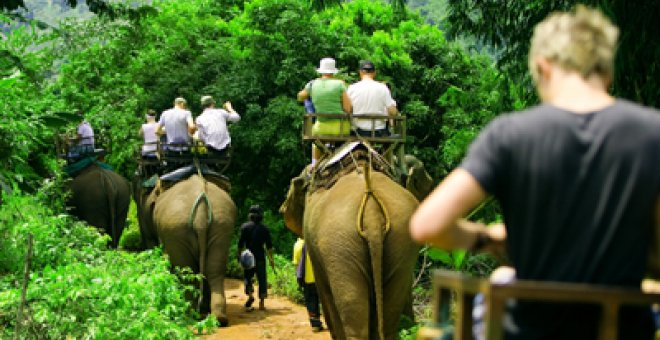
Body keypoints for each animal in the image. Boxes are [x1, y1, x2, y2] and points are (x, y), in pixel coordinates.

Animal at [135, 174, 236, 326]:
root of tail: (201, 212)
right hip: (222, 225)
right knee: (214, 270)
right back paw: (218, 318)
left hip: (176, 229)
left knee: (186, 272)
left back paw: (188, 314)